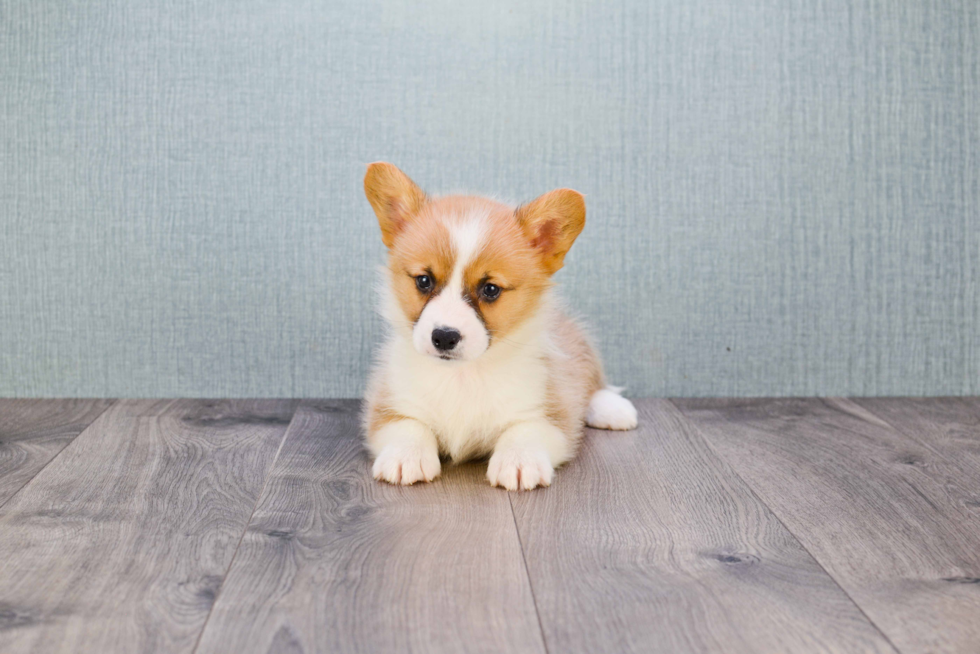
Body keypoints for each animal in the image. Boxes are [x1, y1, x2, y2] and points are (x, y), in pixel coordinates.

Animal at [360, 164, 636, 492]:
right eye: (424, 281)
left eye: (490, 289)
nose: (444, 337)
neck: (462, 375)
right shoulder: (388, 405)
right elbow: (408, 425)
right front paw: (406, 457)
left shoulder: (548, 414)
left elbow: (524, 429)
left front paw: (519, 461)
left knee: (595, 383)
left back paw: (614, 410)